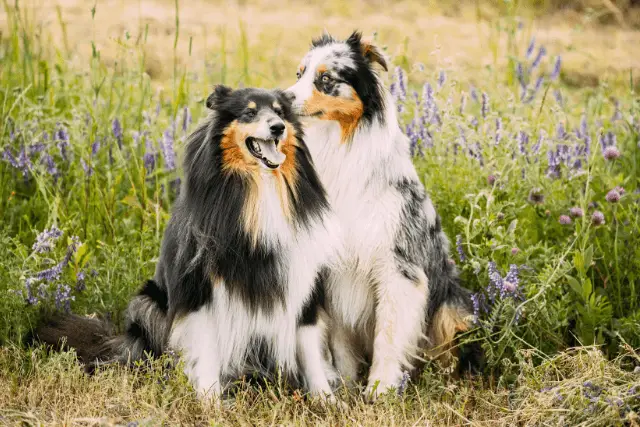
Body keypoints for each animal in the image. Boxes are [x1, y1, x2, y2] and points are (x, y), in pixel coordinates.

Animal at [33, 86, 344, 402]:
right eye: (249, 112)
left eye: (281, 112)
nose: (278, 127)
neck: (259, 186)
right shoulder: (200, 287)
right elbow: (205, 348)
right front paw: (210, 400)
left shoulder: (299, 278)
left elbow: (309, 347)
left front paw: (326, 399)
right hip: (147, 303)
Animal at [286, 31, 480, 400]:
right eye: (298, 73)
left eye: (326, 79)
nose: (280, 100)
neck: (338, 148)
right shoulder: (332, 272)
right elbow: (340, 342)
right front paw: (346, 384)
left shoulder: (398, 267)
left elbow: (388, 337)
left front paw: (380, 388)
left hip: (452, 308)